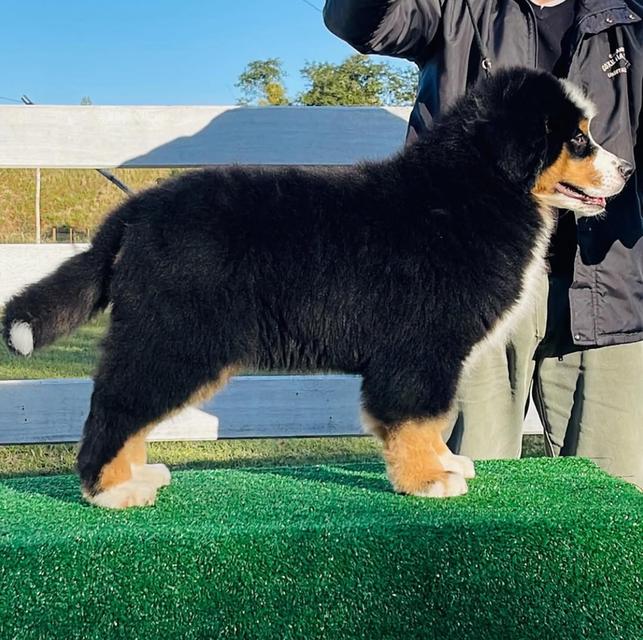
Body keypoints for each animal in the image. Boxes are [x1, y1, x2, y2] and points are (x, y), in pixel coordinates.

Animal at [2, 69, 632, 510]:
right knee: (117, 406)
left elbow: (423, 419)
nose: (627, 170)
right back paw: (112, 491)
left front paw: (444, 464)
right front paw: (428, 478)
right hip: (174, 337)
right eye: (578, 140)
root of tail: (136, 210)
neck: (475, 188)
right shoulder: (421, 349)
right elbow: (417, 415)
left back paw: (136, 474)